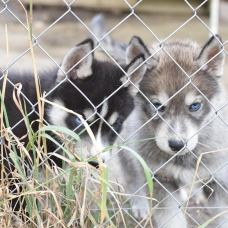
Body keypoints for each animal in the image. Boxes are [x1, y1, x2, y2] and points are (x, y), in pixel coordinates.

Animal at [91, 14, 228, 228]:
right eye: (157, 105)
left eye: (195, 106)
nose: (177, 144)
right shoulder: (161, 179)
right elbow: (171, 218)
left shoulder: (219, 181)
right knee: (133, 176)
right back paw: (139, 204)